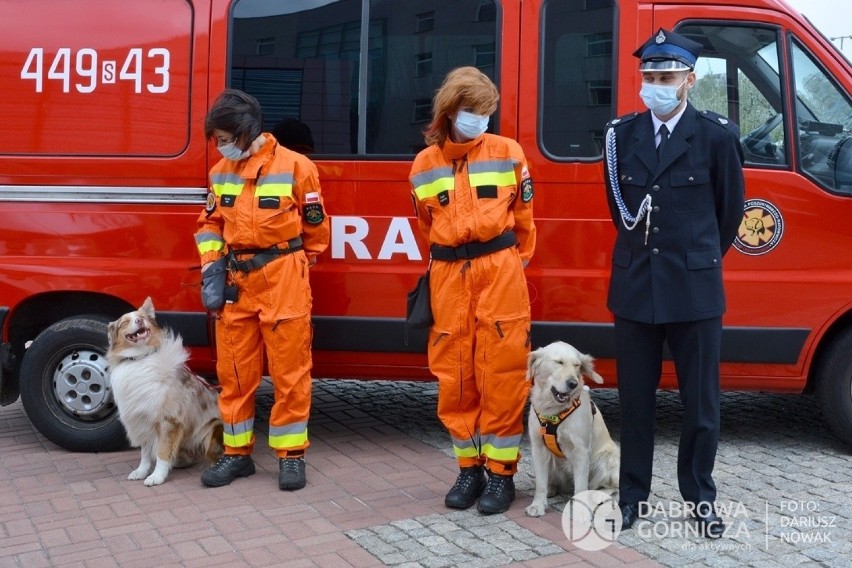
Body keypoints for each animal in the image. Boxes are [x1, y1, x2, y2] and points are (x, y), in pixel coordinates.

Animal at [106, 296, 223, 486]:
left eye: (142, 318)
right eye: (125, 322)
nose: (139, 321)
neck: (140, 358)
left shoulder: (169, 420)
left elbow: (162, 451)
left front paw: (157, 476)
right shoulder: (142, 418)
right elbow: (145, 453)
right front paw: (142, 471)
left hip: (213, 427)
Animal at [520, 340, 620, 516]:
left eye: (577, 365)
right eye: (558, 362)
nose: (573, 383)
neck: (553, 412)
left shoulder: (580, 450)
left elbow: (580, 487)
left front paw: (580, 512)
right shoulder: (538, 448)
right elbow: (540, 483)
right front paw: (537, 504)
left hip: (609, 457)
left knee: (608, 487)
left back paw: (595, 495)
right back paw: (551, 489)